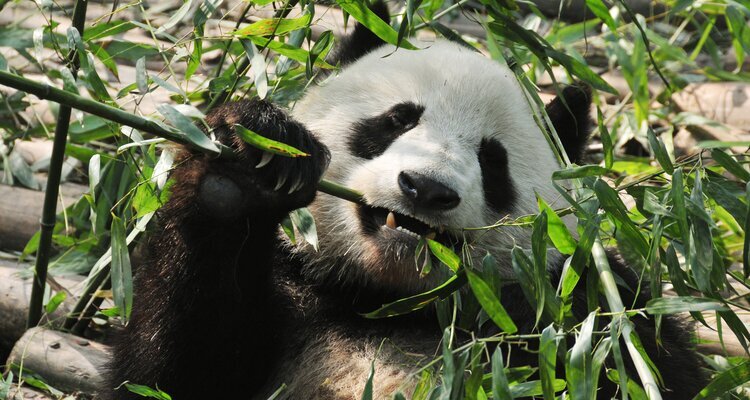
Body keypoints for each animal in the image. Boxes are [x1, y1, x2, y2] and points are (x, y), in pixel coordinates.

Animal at [103, 6, 707, 400]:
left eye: (493, 161)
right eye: (396, 120)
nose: (425, 188)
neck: (386, 302)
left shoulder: (585, 316)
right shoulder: (288, 285)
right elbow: (171, 372)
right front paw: (244, 167)